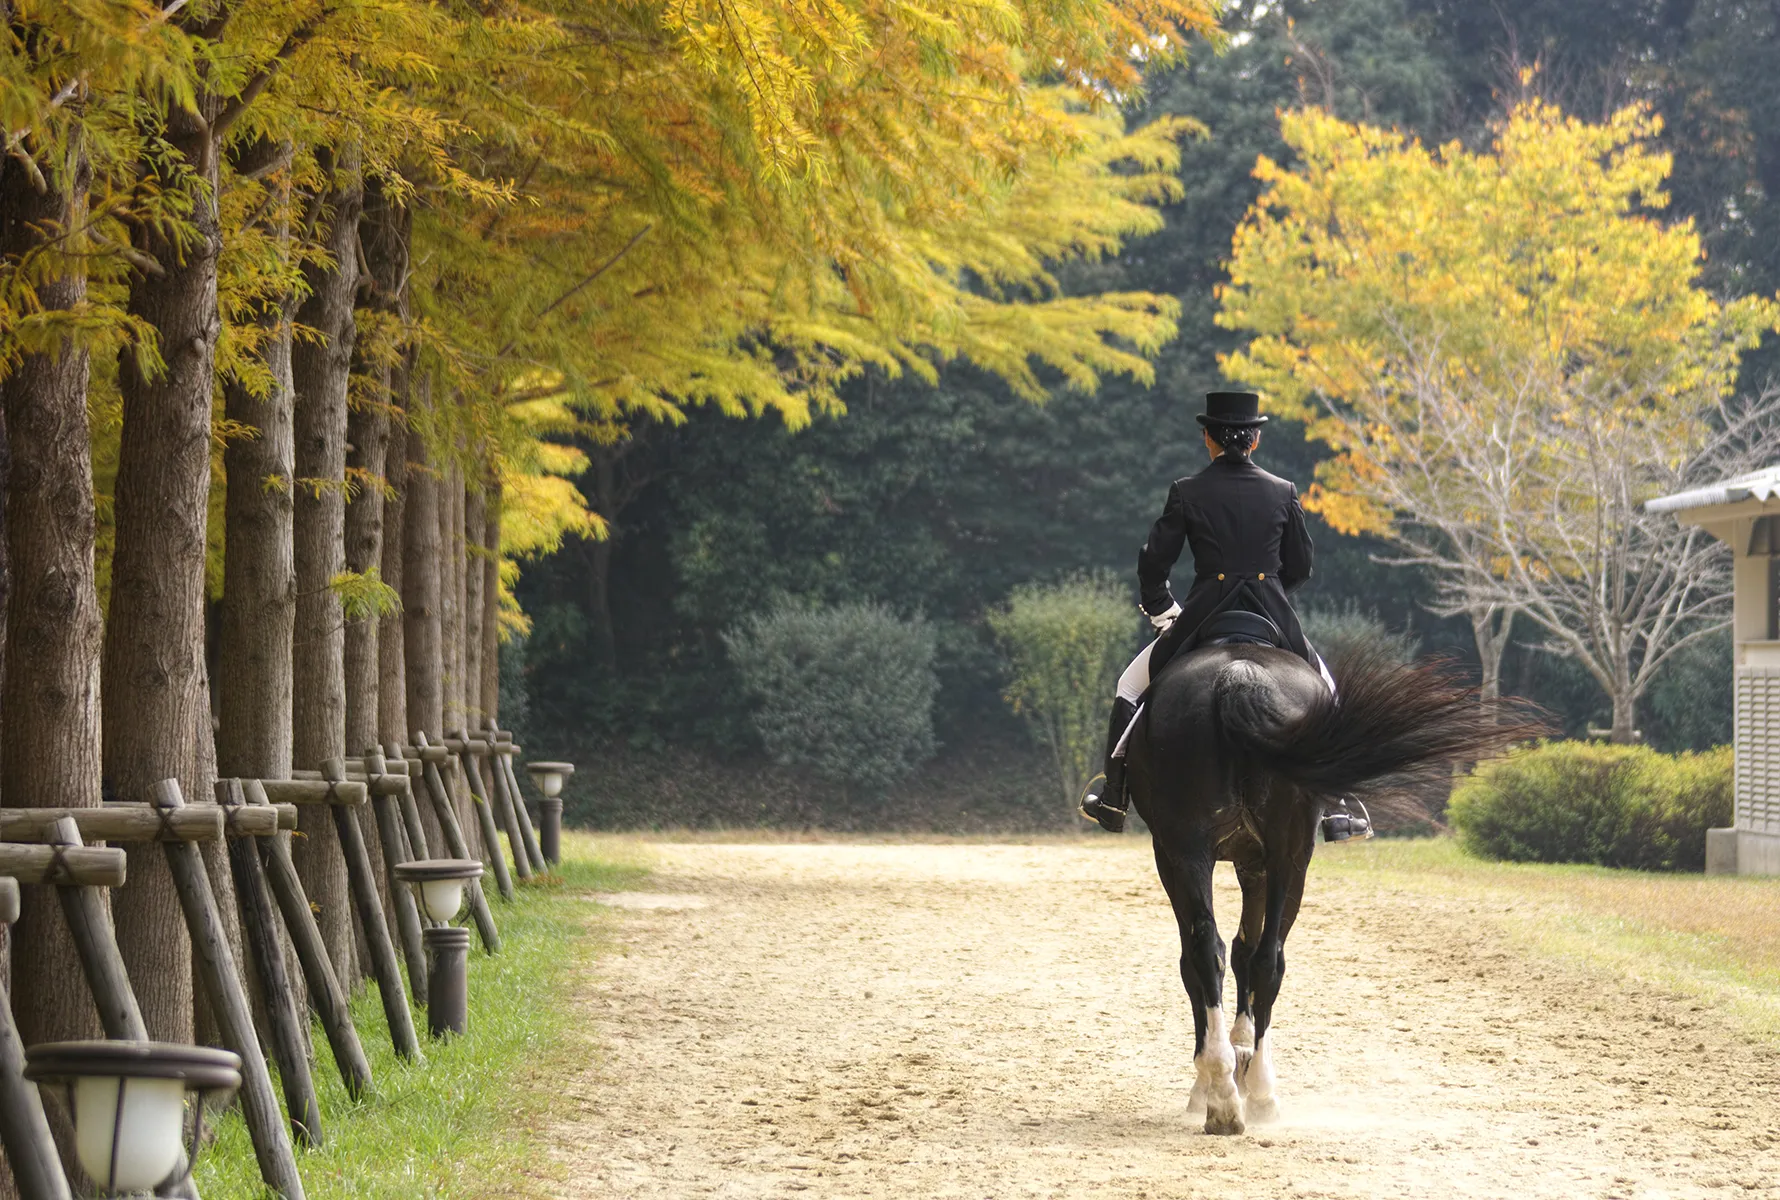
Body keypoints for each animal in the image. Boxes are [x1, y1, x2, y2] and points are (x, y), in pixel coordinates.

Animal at [1124, 640, 1530, 1125]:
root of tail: (1238, 673)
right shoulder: (1210, 858)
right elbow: (1230, 955)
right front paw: (1228, 1063)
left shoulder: (1227, 861)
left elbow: (1229, 954)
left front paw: (1225, 1062)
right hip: (1263, 854)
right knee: (1252, 957)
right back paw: (1247, 1092)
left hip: (1233, 853)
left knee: (1230, 954)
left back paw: (1233, 1091)